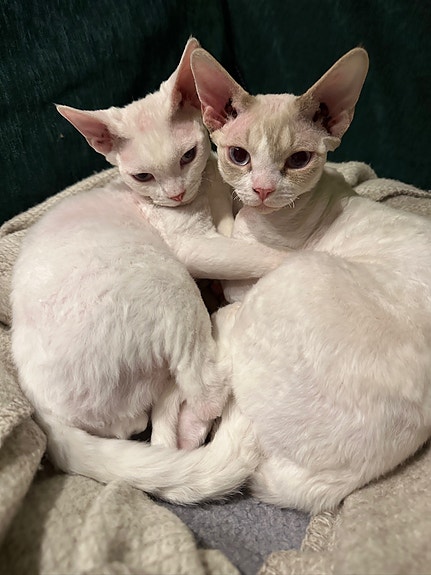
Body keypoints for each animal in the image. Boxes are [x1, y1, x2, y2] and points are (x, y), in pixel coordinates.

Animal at [11, 37, 287, 462]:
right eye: (143, 177)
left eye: (188, 155)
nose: (175, 194)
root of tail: (44, 413)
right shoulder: (191, 246)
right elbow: (252, 254)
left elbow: (229, 216)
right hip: (168, 282)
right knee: (204, 391)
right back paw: (226, 330)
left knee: (147, 417)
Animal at [41, 45, 431, 514]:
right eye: (238, 155)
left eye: (298, 160)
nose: (262, 190)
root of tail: (331, 487)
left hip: (261, 297)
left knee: (202, 394)